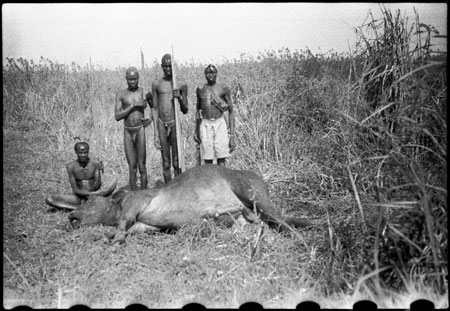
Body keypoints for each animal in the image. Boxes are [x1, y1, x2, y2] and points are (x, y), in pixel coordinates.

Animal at [68, 165, 312, 245]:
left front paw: (115, 238)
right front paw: (109, 235)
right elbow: (130, 228)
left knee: (282, 222)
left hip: (254, 196)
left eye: (89, 200)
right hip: (246, 215)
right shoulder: (147, 225)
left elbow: (122, 224)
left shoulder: (136, 202)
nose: (71, 217)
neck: (116, 205)